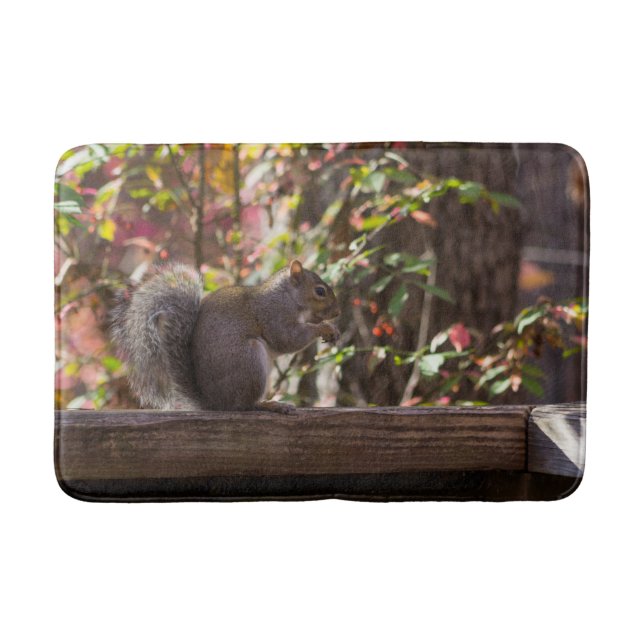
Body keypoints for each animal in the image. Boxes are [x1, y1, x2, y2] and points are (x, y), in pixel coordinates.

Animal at [110, 260, 340, 413]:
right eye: (320, 291)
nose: (337, 313)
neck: (287, 296)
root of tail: (214, 403)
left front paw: (331, 329)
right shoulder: (274, 315)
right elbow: (287, 338)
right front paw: (324, 328)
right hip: (249, 360)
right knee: (245, 405)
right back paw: (268, 404)